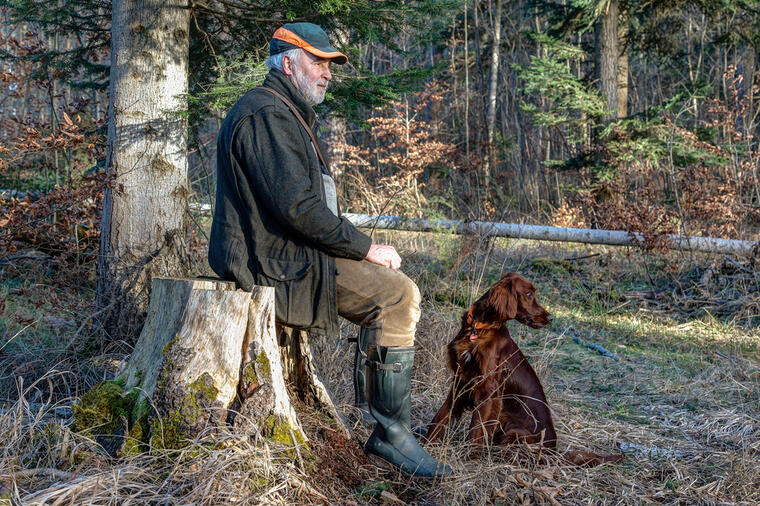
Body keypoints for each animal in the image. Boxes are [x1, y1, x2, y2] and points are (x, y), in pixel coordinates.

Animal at [424, 272, 620, 466]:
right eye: (529, 294)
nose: (550, 318)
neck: (480, 328)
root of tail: (554, 453)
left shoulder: (487, 391)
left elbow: (475, 430)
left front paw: (468, 459)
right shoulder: (460, 381)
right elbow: (441, 417)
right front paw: (426, 445)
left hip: (513, 430)